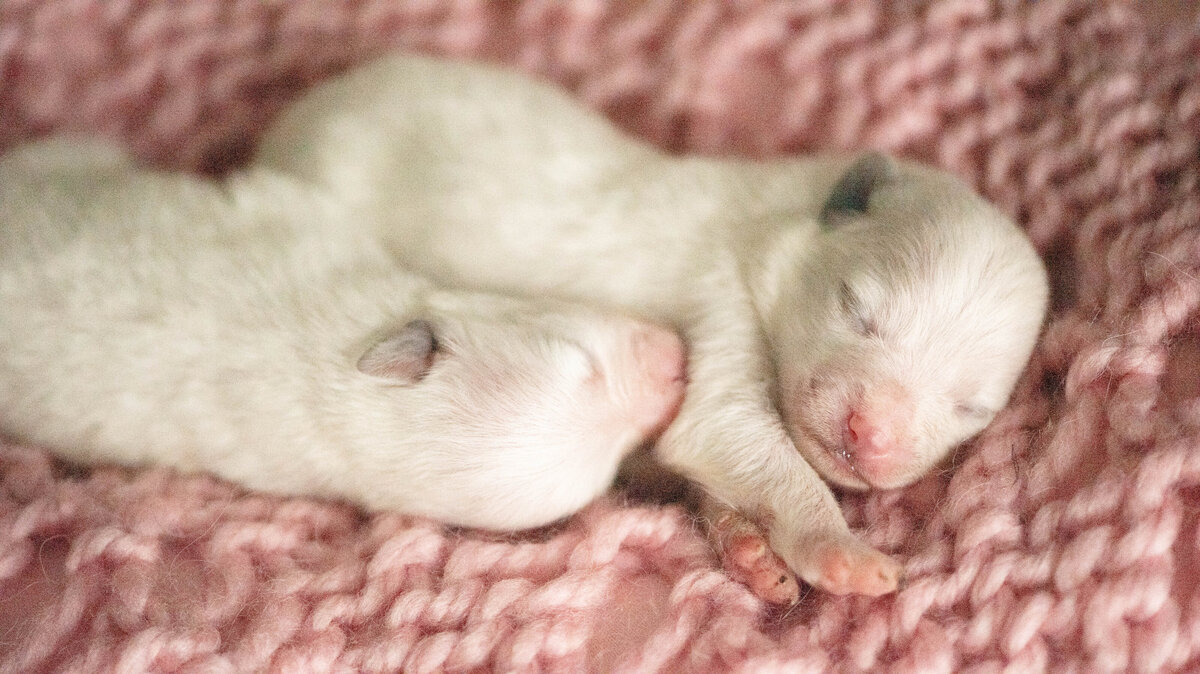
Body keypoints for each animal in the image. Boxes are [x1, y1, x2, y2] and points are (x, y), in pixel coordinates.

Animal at [255, 55, 1051, 594]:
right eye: (857, 308)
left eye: (971, 408)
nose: (870, 434)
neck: (780, 222)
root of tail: (294, 120)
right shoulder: (721, 305)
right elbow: (731, 431)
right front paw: (839, 548)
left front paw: (749, 551)